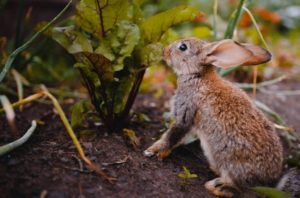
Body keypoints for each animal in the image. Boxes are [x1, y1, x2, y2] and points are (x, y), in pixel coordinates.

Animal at [143, 38, 300, 197]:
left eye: (183, 47)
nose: (165, 51)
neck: (197, 75)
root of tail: (271, 183)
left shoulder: (185, 114)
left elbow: (172, 135)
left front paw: (153, 151)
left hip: (231, 163)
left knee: (243, 190)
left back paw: (217, 187)